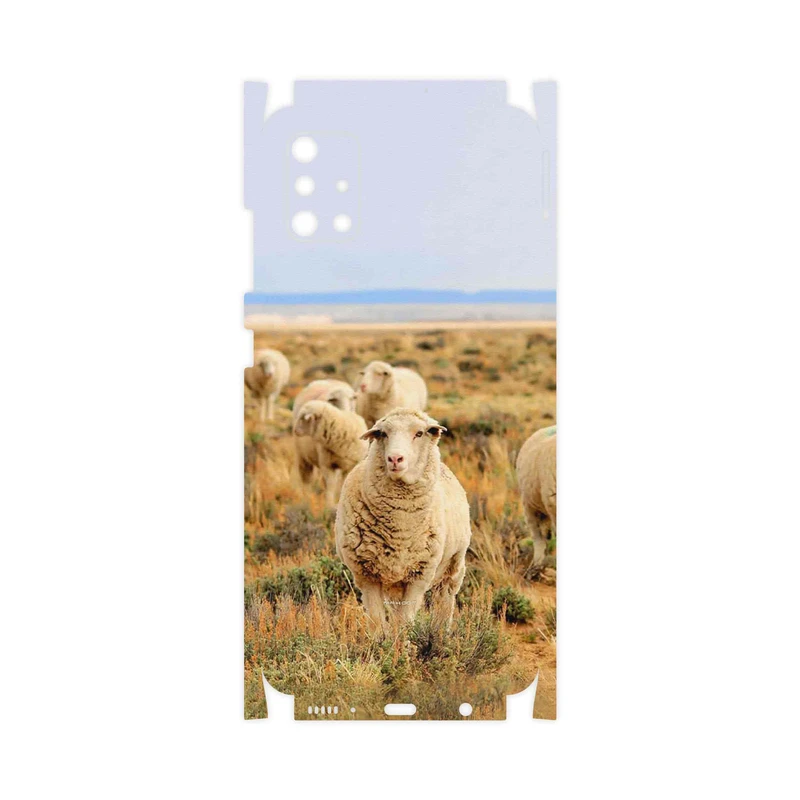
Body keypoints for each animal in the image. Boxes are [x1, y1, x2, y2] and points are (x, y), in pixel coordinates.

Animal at [335, 408, 471, 632]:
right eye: (383, 433)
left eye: (419, 433)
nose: (395, 458)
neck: (400, 527)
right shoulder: (366, 575)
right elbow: (377, 622)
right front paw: (382, 641)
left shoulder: (419, 575)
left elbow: (405, 621)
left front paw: (404, 641)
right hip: (394, 582)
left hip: (453, 565)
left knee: (445, 599)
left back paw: (441, 632)